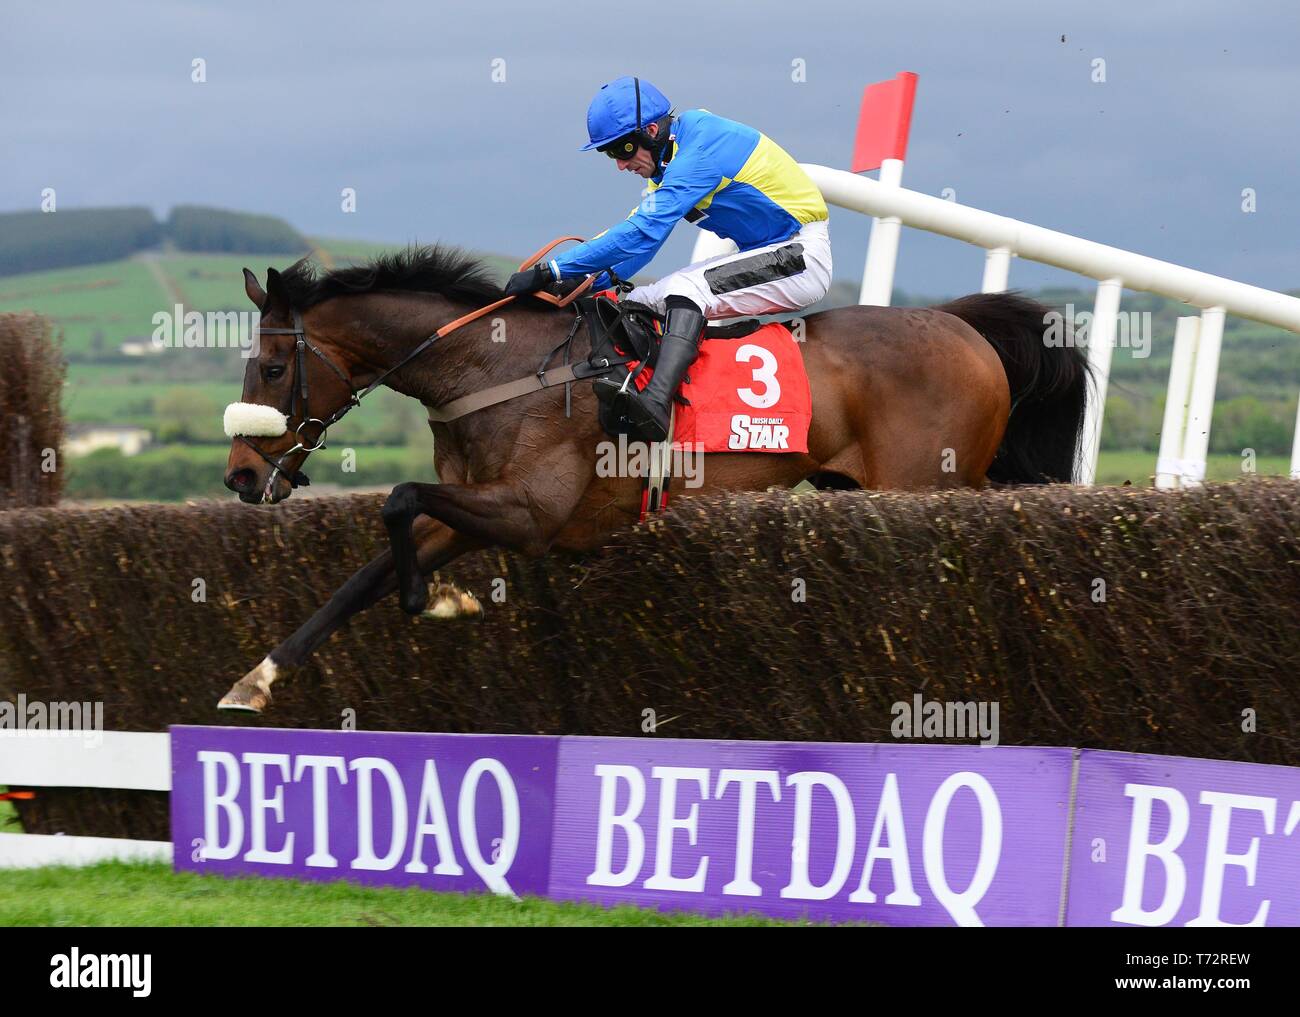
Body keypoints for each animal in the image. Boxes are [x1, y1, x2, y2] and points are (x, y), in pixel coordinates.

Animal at [215, 243, 1086, 712]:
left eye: (271, 366)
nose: (241, 476)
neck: (497, 368)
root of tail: (961, 325)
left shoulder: (531, 514)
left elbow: (396, 500)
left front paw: (438, 602)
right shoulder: (468, 509)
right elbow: (361, 574)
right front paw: (255, 680)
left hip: (922, 487)